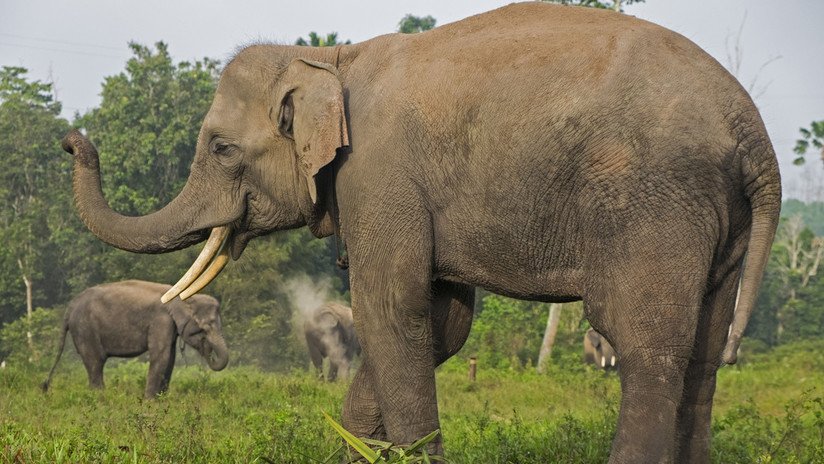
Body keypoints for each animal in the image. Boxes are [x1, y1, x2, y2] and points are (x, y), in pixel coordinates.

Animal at [42, 280, 228, 398]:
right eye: (204, 329)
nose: (210, 353)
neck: (184, 294)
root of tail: (70, 307)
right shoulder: (160, 320)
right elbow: (161, 356)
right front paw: (150, 402)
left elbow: (170, 358)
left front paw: (162, 400)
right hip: (84, 330)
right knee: (95, 363)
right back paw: (100, 400)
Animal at [61, 3, 781, 462]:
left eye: (220, 148)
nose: (72, 139)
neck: (329, 58)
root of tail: (755, 134)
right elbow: (440, 322)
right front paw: (355, 449)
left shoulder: (379, 174)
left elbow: (392, 308)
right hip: (717, 220)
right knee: (704, 349)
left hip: (654, 202)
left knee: (644, 344)